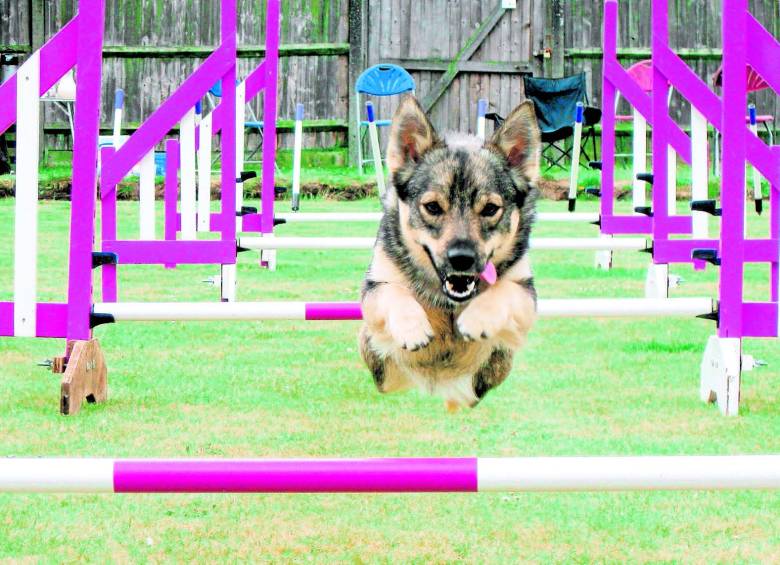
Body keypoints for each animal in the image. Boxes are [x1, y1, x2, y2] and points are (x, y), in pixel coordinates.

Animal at [362, 94, 540, 408]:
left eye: (490, 209)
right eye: (433, 207)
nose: (462, 259)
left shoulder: (527, 293)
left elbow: (504, 289)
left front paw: (478, 318)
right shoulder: (373, 289)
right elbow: (393, 291)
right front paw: (412, 327)